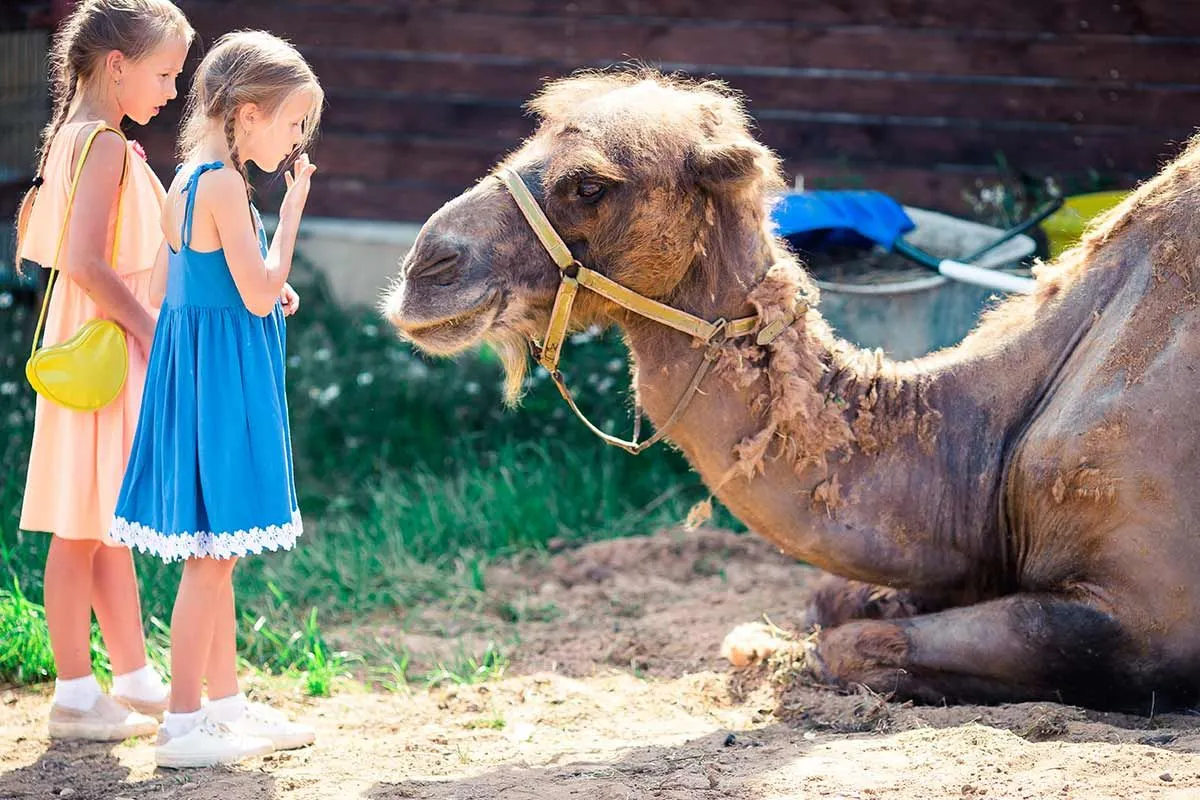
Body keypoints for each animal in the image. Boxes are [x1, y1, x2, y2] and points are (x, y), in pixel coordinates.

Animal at [381, 70, 1200, 714]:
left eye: (590, 184)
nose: (426, 268)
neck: (983, 447)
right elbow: (833, 598)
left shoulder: (1139, 616)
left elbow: (850, 644)